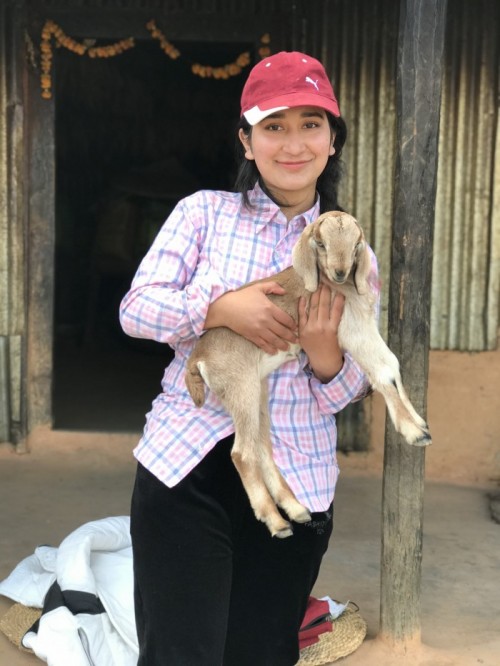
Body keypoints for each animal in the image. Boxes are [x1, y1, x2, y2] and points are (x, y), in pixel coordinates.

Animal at [185, 211, 431, 538]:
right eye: (321, 243)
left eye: (356, 243)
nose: (340, 272)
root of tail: (198, 358)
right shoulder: (352, 331)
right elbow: (382, 372)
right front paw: (413, 432)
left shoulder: (364, 327)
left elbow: (392, 365)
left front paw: (420, 425)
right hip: (241, 386)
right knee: (242, 453)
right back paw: (276, 522)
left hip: (257, 391)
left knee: (262, 447)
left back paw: (295, 509)